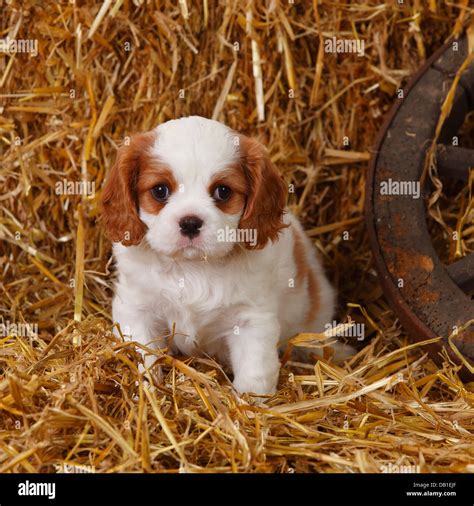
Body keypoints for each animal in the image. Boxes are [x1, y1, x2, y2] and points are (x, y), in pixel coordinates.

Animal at [100, 115, 352, 396]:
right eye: (160, 190)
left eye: (223, 191)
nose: (190, 222)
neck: (192, 267)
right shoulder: (137, 309)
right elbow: (143, 354)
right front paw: (147, 389)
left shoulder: (252, 320)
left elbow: (255, 373)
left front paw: (249, 403)